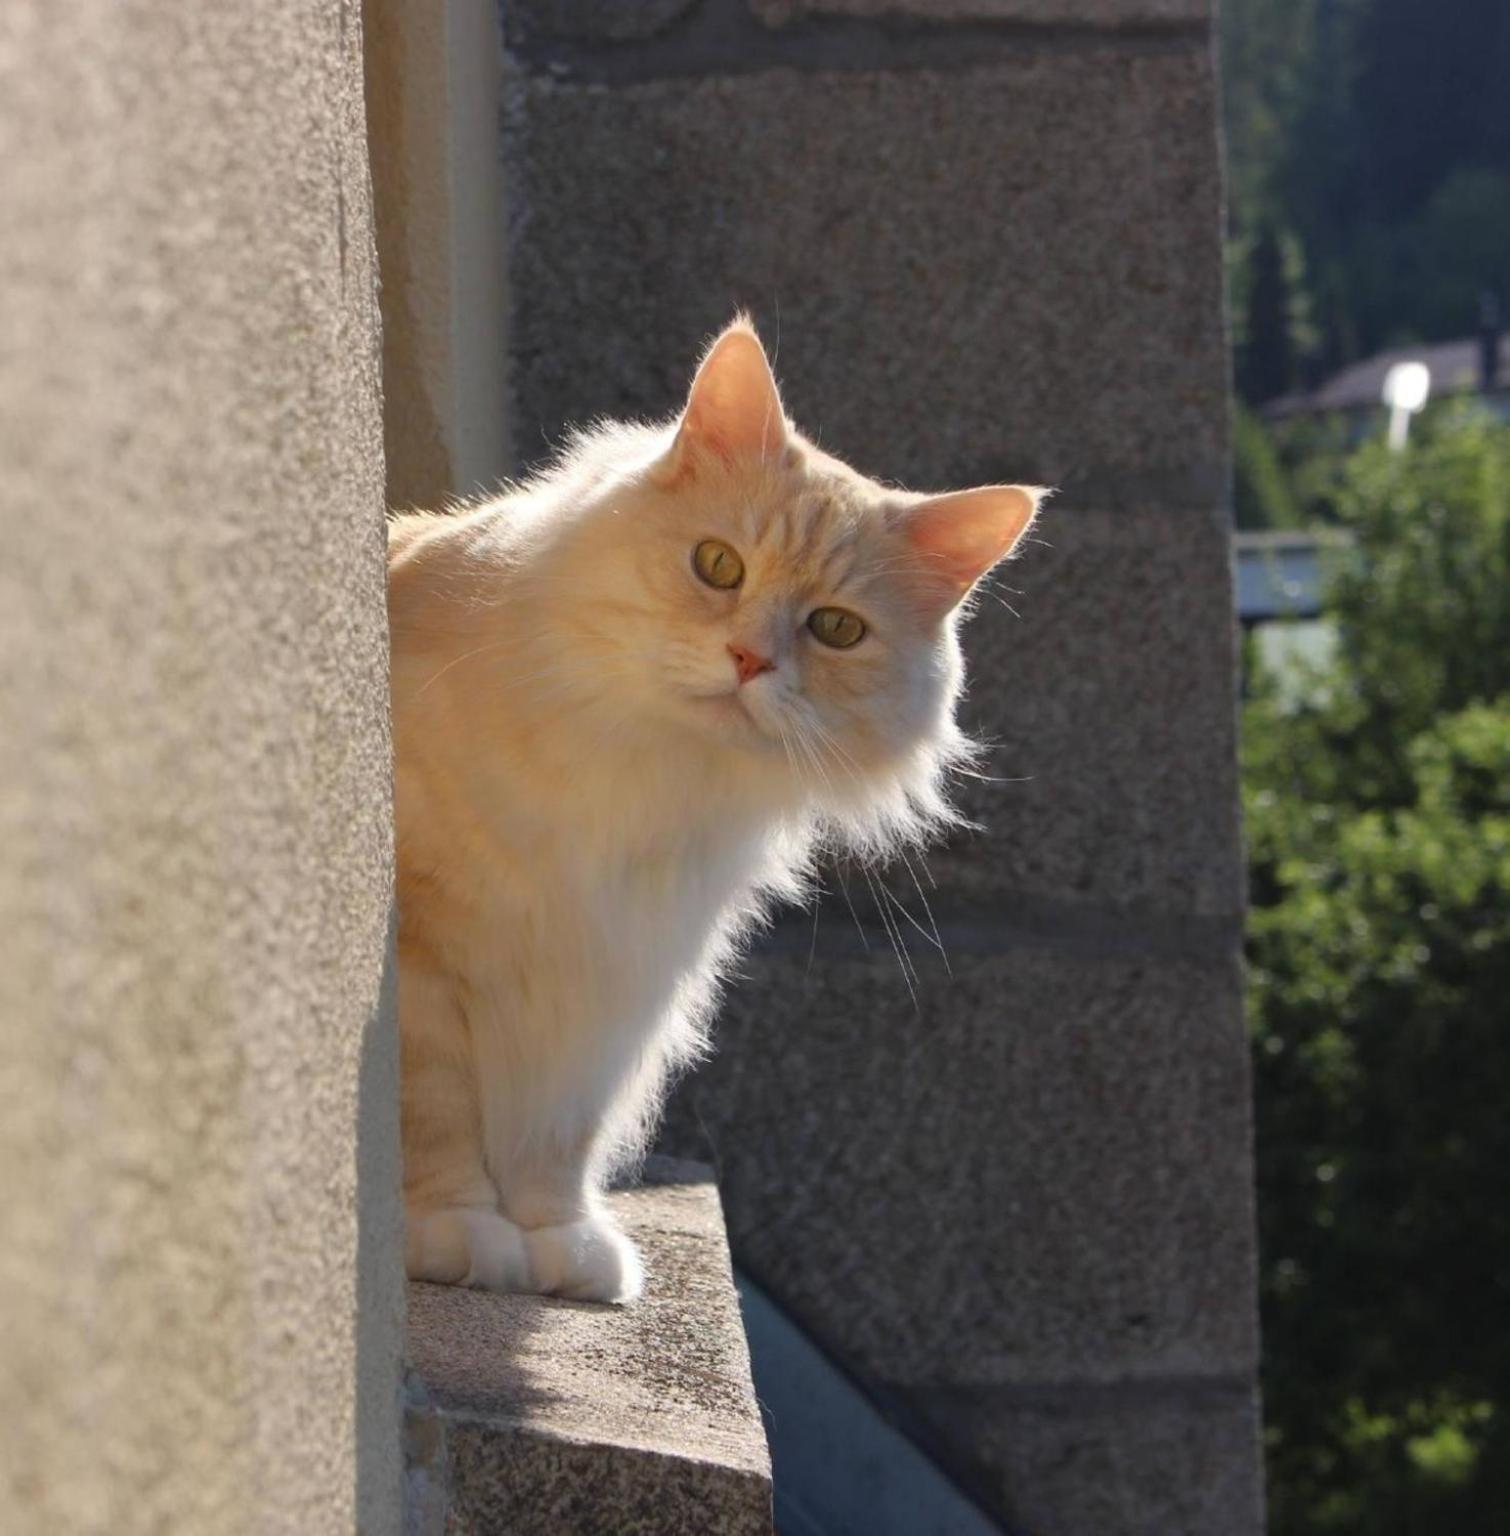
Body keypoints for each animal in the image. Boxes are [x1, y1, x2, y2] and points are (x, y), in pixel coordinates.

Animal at [393, 317, 1038, 1302]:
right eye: (718, 567)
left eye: (835, 629)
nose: (748, 660)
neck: (654, 769)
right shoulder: (427, 954)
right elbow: (437, 1111)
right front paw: (459, 1230)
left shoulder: (615, 980)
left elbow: (557, 1139)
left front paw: (561, 1242)